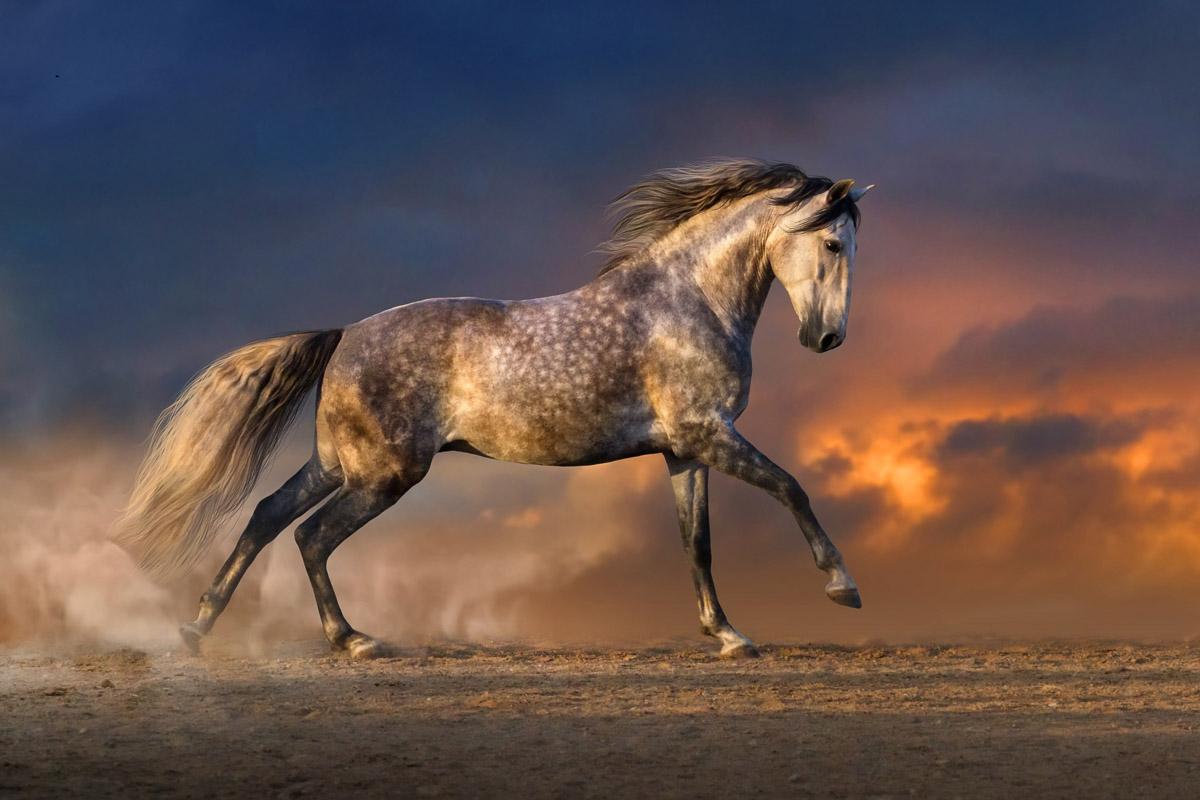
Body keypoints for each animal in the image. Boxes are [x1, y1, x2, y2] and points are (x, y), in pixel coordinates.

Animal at [114, 159, 874, 658]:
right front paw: (842, 588)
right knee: (311, 536)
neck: (688, 303)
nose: (827, 338)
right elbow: (792, 487)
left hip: (340, 465)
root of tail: (344, 335)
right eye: (833, 243)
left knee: (269, 516)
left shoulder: (684, 450)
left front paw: (728, 635)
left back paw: (200, 627)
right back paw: (353, 641)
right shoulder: (710, 434)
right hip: (383, 474)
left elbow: (698, 542)